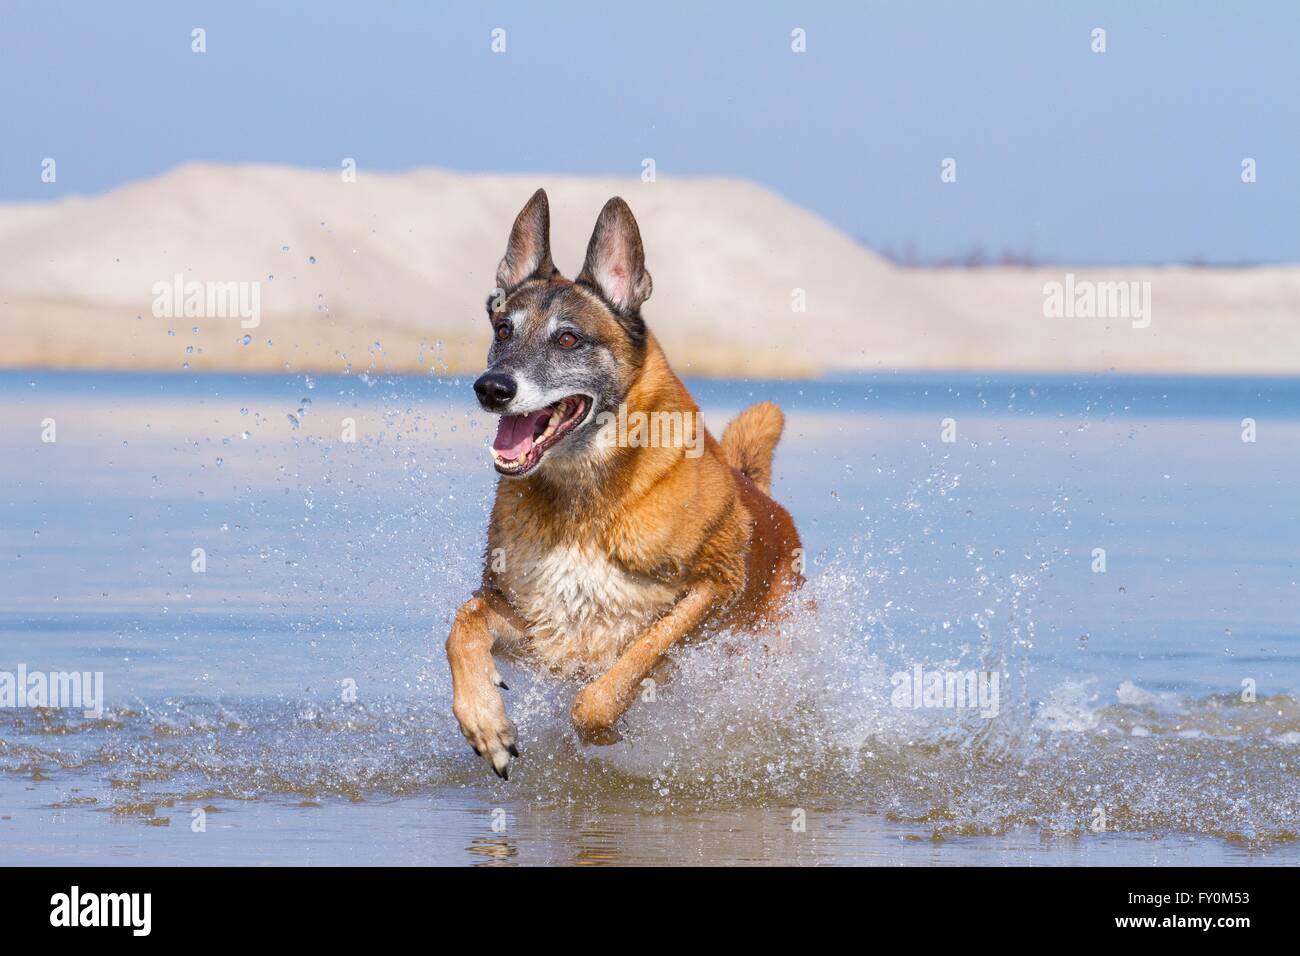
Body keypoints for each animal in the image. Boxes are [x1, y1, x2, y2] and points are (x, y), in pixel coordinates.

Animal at [449, 191, 800, 780]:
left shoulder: (712, 587)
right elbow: (462, 623)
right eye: (503, 331)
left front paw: (606, 727)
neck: (584, 500)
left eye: (568, 338)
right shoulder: (539, 619)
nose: (491, 388)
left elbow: (625, 668)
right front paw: (485, 721)